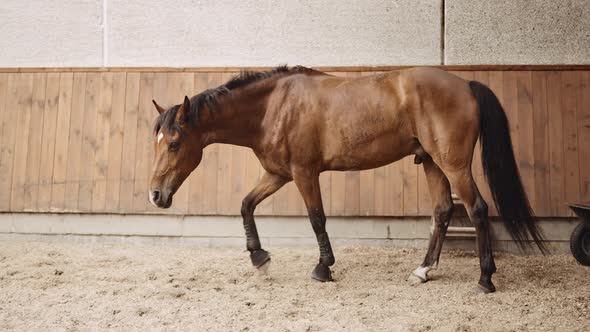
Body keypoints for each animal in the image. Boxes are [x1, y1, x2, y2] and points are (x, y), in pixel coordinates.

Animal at [150, 65, 548, 294]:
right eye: (157, 140)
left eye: (174, 143)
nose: (155, 195)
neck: (274, 106)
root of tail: (465, 84)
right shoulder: (277, 174)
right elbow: (246, 205)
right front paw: (259, 257)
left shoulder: (304, 173)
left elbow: (316, 218)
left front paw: (323, 268)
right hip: (433, 163)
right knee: (442, 212)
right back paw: (422, 271)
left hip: (453, 164)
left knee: (477, 209)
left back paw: (485, 279)